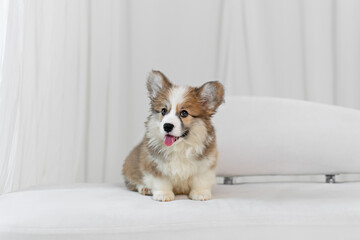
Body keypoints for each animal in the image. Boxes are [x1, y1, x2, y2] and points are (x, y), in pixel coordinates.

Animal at [121, 71, 222, 201]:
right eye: (164, 111)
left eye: (184, 113)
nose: (167, 126)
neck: (179, 147)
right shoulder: (154, 164)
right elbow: (161, 181)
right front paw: (163, 194)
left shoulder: (205, 165)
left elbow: (200, 181)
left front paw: (200, 193)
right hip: (130, 167)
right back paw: (145, 188)